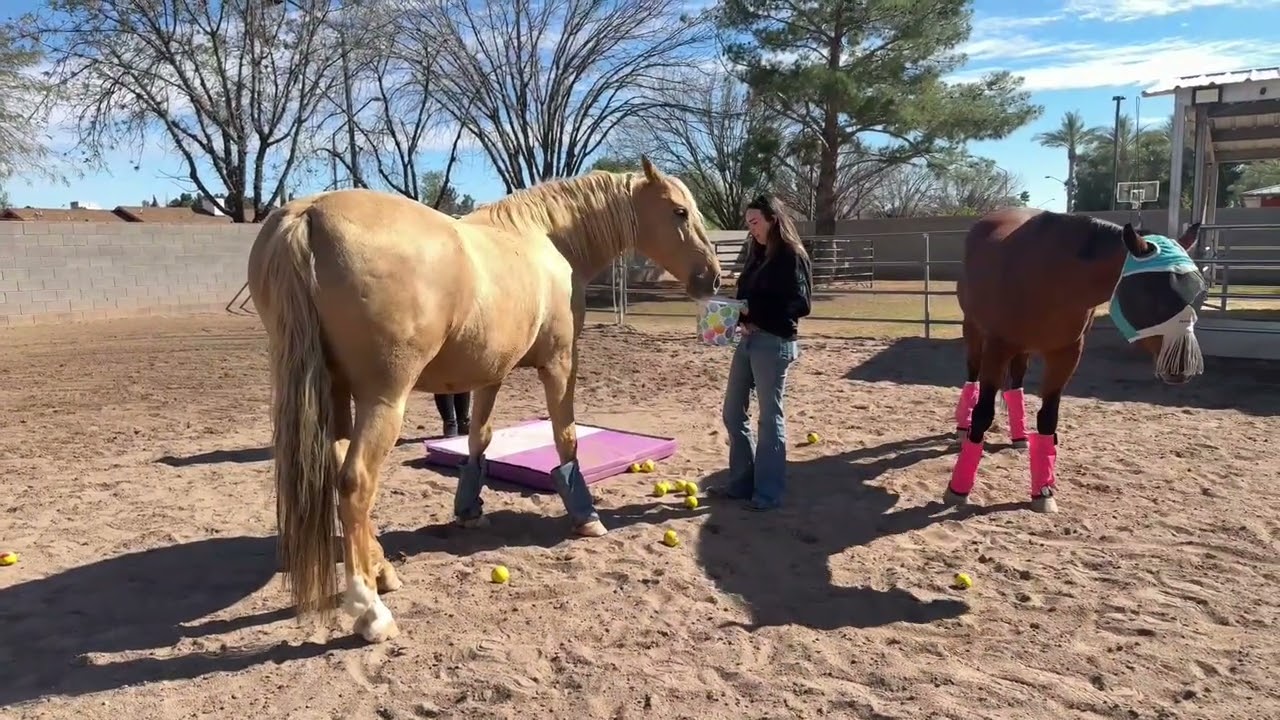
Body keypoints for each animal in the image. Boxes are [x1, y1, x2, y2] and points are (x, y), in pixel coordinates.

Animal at [246, 156, 721, 643]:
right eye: (680, 212)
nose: (713, 277)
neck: (548, 239)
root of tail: (308, 214)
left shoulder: (489, 374)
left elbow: (479, 438)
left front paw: (469, 510)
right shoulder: (560, 363)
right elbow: (566, 437)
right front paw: (585, 515)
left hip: (337, 391)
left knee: (341, 470)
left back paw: (382, 571)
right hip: (384, 399)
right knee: (356, 483)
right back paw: (370, 610)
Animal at [948, 208, 1206, 513]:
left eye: (1200, 293)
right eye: (1153, 295)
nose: (1183, 369)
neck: (1052, 275)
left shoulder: (1066, 354)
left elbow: (1048, 419)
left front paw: (1043, 492)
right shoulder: (998, 348)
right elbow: (983, 414)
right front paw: (958, 489)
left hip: (1022, 349)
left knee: (1016, 386)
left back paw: (1020, 437)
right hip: (974, 333)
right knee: (972, 377)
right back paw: (963, 428)